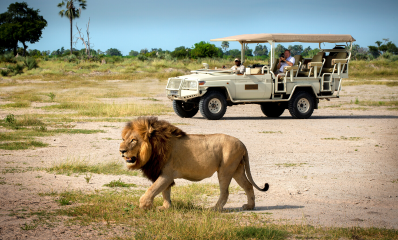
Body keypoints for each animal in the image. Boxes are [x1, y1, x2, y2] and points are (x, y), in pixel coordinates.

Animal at [117, 117, 268, 211]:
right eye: (123, 139)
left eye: (133, 140)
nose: (121, 151)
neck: (155, 147)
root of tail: (242, 144)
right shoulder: (163, 174)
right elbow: (165, 191)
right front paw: (166, 207)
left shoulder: (166, 174)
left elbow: (153, 189)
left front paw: (144, 205)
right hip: (237, 169)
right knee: (248, 185)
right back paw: (250, 206)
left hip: (226, 169)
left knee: (225, 192)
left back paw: (215, 209)